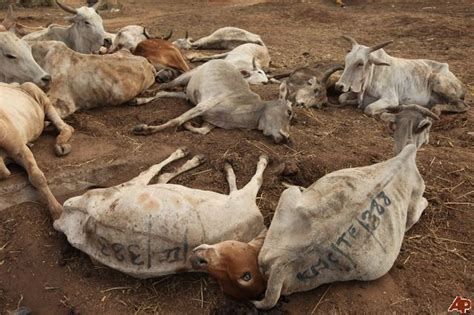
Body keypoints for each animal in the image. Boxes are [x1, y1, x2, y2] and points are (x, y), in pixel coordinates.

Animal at [133, 59, 294, 144]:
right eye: (289, 112)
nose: (287, 137)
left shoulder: (210, 120)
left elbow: (202, 130)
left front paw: (189, 125)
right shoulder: (203, 105)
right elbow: (176, 120)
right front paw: (145, 129)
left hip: (187, 93)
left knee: (164, 93)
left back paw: (139, 100)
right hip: (186, 76)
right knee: (164, 86)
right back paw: (146, 93)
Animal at [336, 35, 468, 116]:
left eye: (360, 63)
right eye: (347, 60)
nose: (339, 86)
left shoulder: (390, 98)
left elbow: (369, 109)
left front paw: (391, 109)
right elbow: (341, 98)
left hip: (437, 80)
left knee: (463, 106)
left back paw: (436, 110)